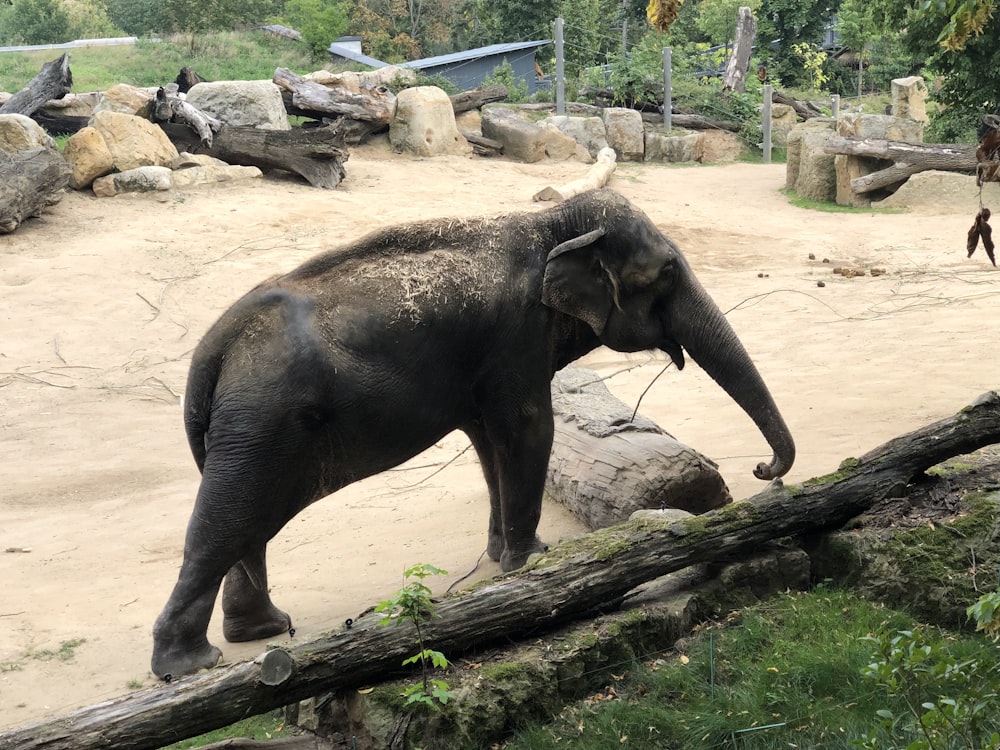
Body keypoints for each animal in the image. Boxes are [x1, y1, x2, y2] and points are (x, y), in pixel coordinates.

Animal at [150, 189, 796, 680]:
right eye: (666, 273)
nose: (764, 471)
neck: (551, 223)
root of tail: (212, 350)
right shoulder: (517, 335)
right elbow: (530, 427)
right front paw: (533, 560)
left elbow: (490, 442)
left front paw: (500, 556)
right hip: (264, 420)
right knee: (230, 518)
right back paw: (190, 666)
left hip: (245, 427)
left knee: (245, 522)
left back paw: (263, 629)